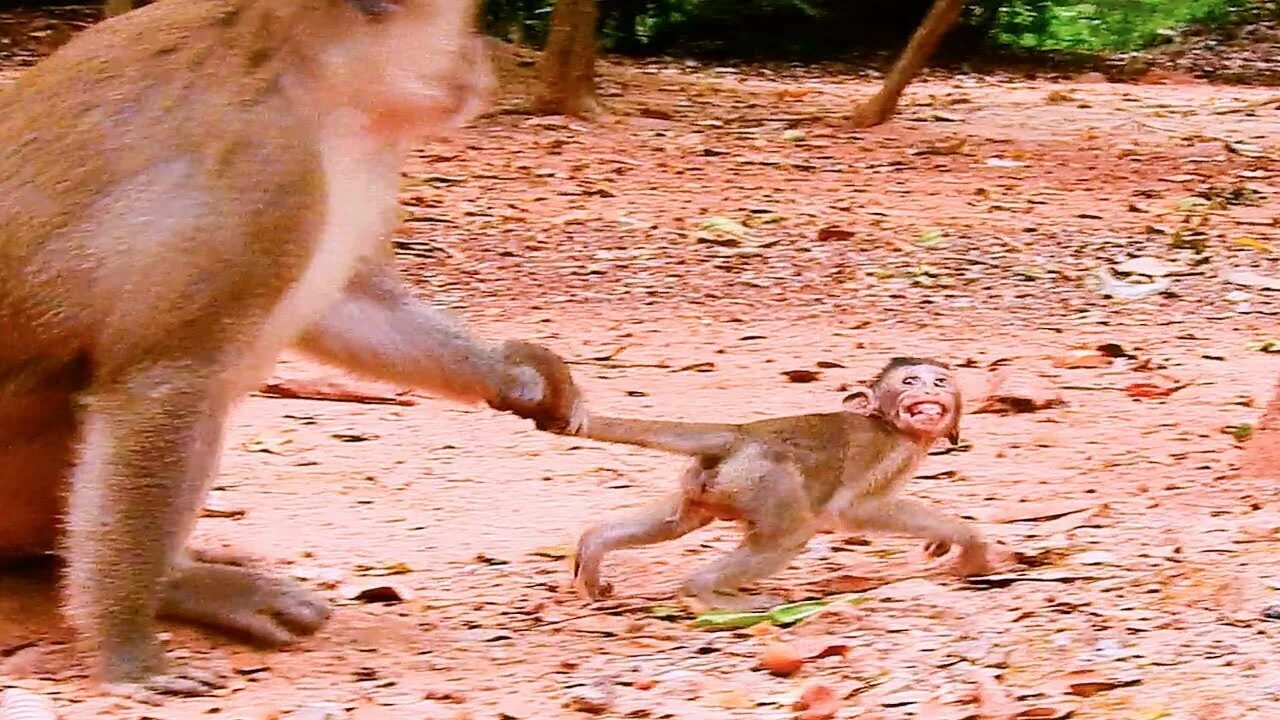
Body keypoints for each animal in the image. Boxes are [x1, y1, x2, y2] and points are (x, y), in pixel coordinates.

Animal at [0, 0, 585, 697]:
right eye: (465, 24)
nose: (480, 63)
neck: (310, 77)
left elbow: (346, 306)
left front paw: (514, 374)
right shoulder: (262, 166)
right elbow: (162, 374)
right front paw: (127, 649)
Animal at [564, 357, 992, 611]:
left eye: (940, 381)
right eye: (910, 381)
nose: (930, 391)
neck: (891, 425)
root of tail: (742, 433)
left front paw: (943, 542)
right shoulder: (890, 449)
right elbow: (856, 510)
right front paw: (967, 539)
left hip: (712, 480)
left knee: (678, 521)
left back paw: (594, 547)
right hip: (761, 478)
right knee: (792, 532)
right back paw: (706, 591)